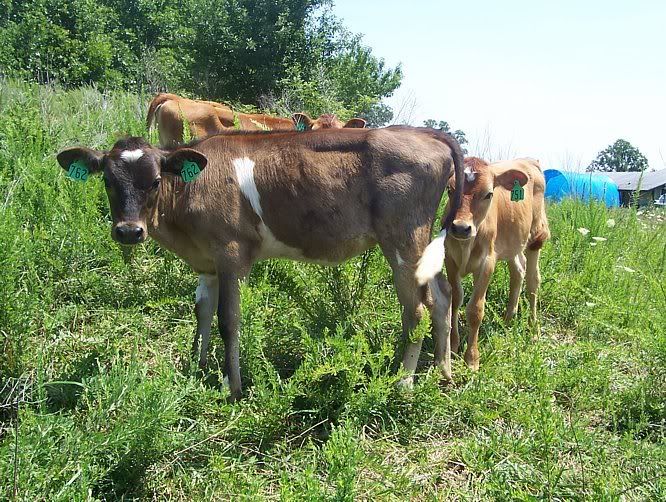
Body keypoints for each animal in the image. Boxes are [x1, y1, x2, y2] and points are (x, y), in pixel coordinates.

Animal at [57, 126, 464, 401]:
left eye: (156, 181)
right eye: (108, 181)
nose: (128, 231)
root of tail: (424, 133)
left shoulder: (231, 254)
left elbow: (227, 320)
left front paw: (234, 388)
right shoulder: (206, 263)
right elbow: (201, 314)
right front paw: (197, 370)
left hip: (403, 239)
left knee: (417, 310)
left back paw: (403, 383)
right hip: (420, 245)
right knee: (442, 296)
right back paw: (443, 373)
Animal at [444, 156, 550, 371]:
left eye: (488, 194)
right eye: (450, 189)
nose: (460, 228)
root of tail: (529, 160)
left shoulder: (487, 262)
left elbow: (475, 309)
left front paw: (472, 358)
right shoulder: (449, 258)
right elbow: (456, 299)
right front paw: (453, 345)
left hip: (536, 236)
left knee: (533, 282)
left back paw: (533, 329)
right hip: (512, 243)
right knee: (518, 270)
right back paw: (509, 317)